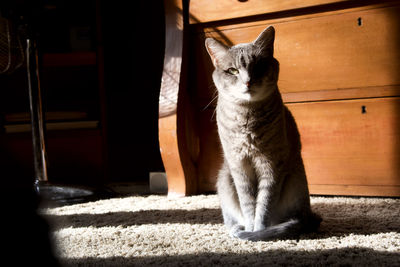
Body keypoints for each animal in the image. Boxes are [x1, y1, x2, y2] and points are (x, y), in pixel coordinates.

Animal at [206, 26, 322, 242]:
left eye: (258, 67)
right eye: (233, 70)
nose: (248, 82)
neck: (247, 118)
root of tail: (308, 215)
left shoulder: (271, 165)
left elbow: (264, 204)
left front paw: (258, 232)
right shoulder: (239, 167)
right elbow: (248, 204)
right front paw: (251, 230)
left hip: (295, 180)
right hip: (225, 179)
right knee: (231, 218)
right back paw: (237, 229)